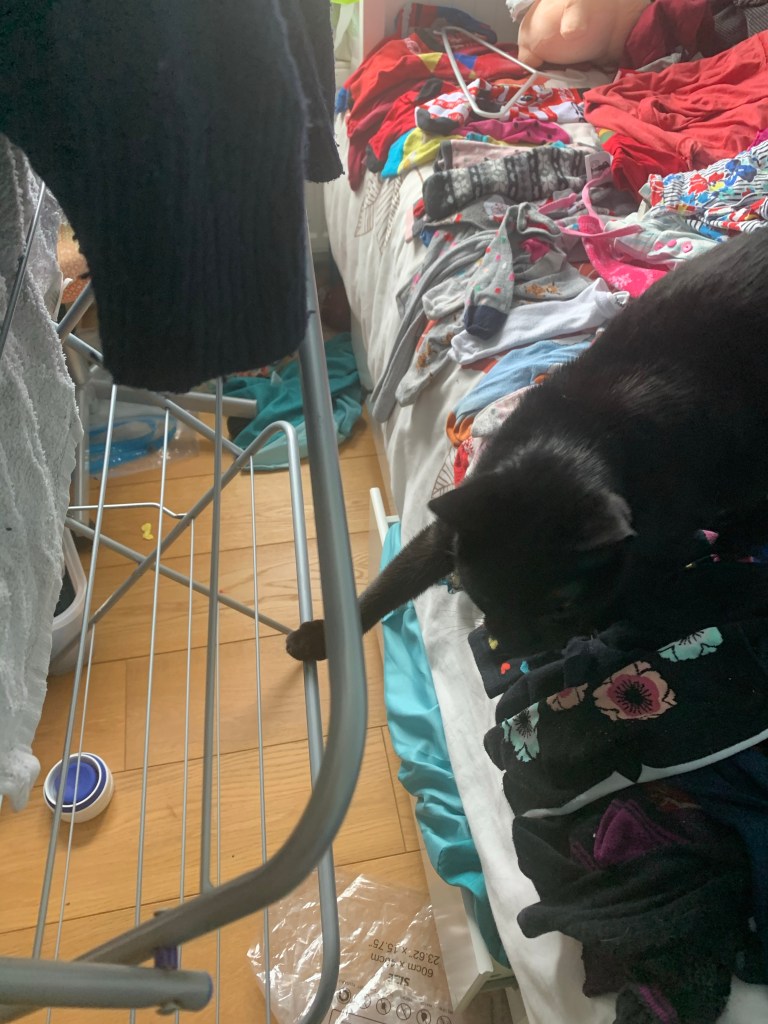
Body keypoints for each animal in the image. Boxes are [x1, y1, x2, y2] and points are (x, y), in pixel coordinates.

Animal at [287, 228, 768, 661]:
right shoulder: (447, 530)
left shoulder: (650, 549)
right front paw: (321, 638)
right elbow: (393, 581)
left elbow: (635, 594)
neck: (573, 435)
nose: (517, 647)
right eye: (486, 593)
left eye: (560, 605)